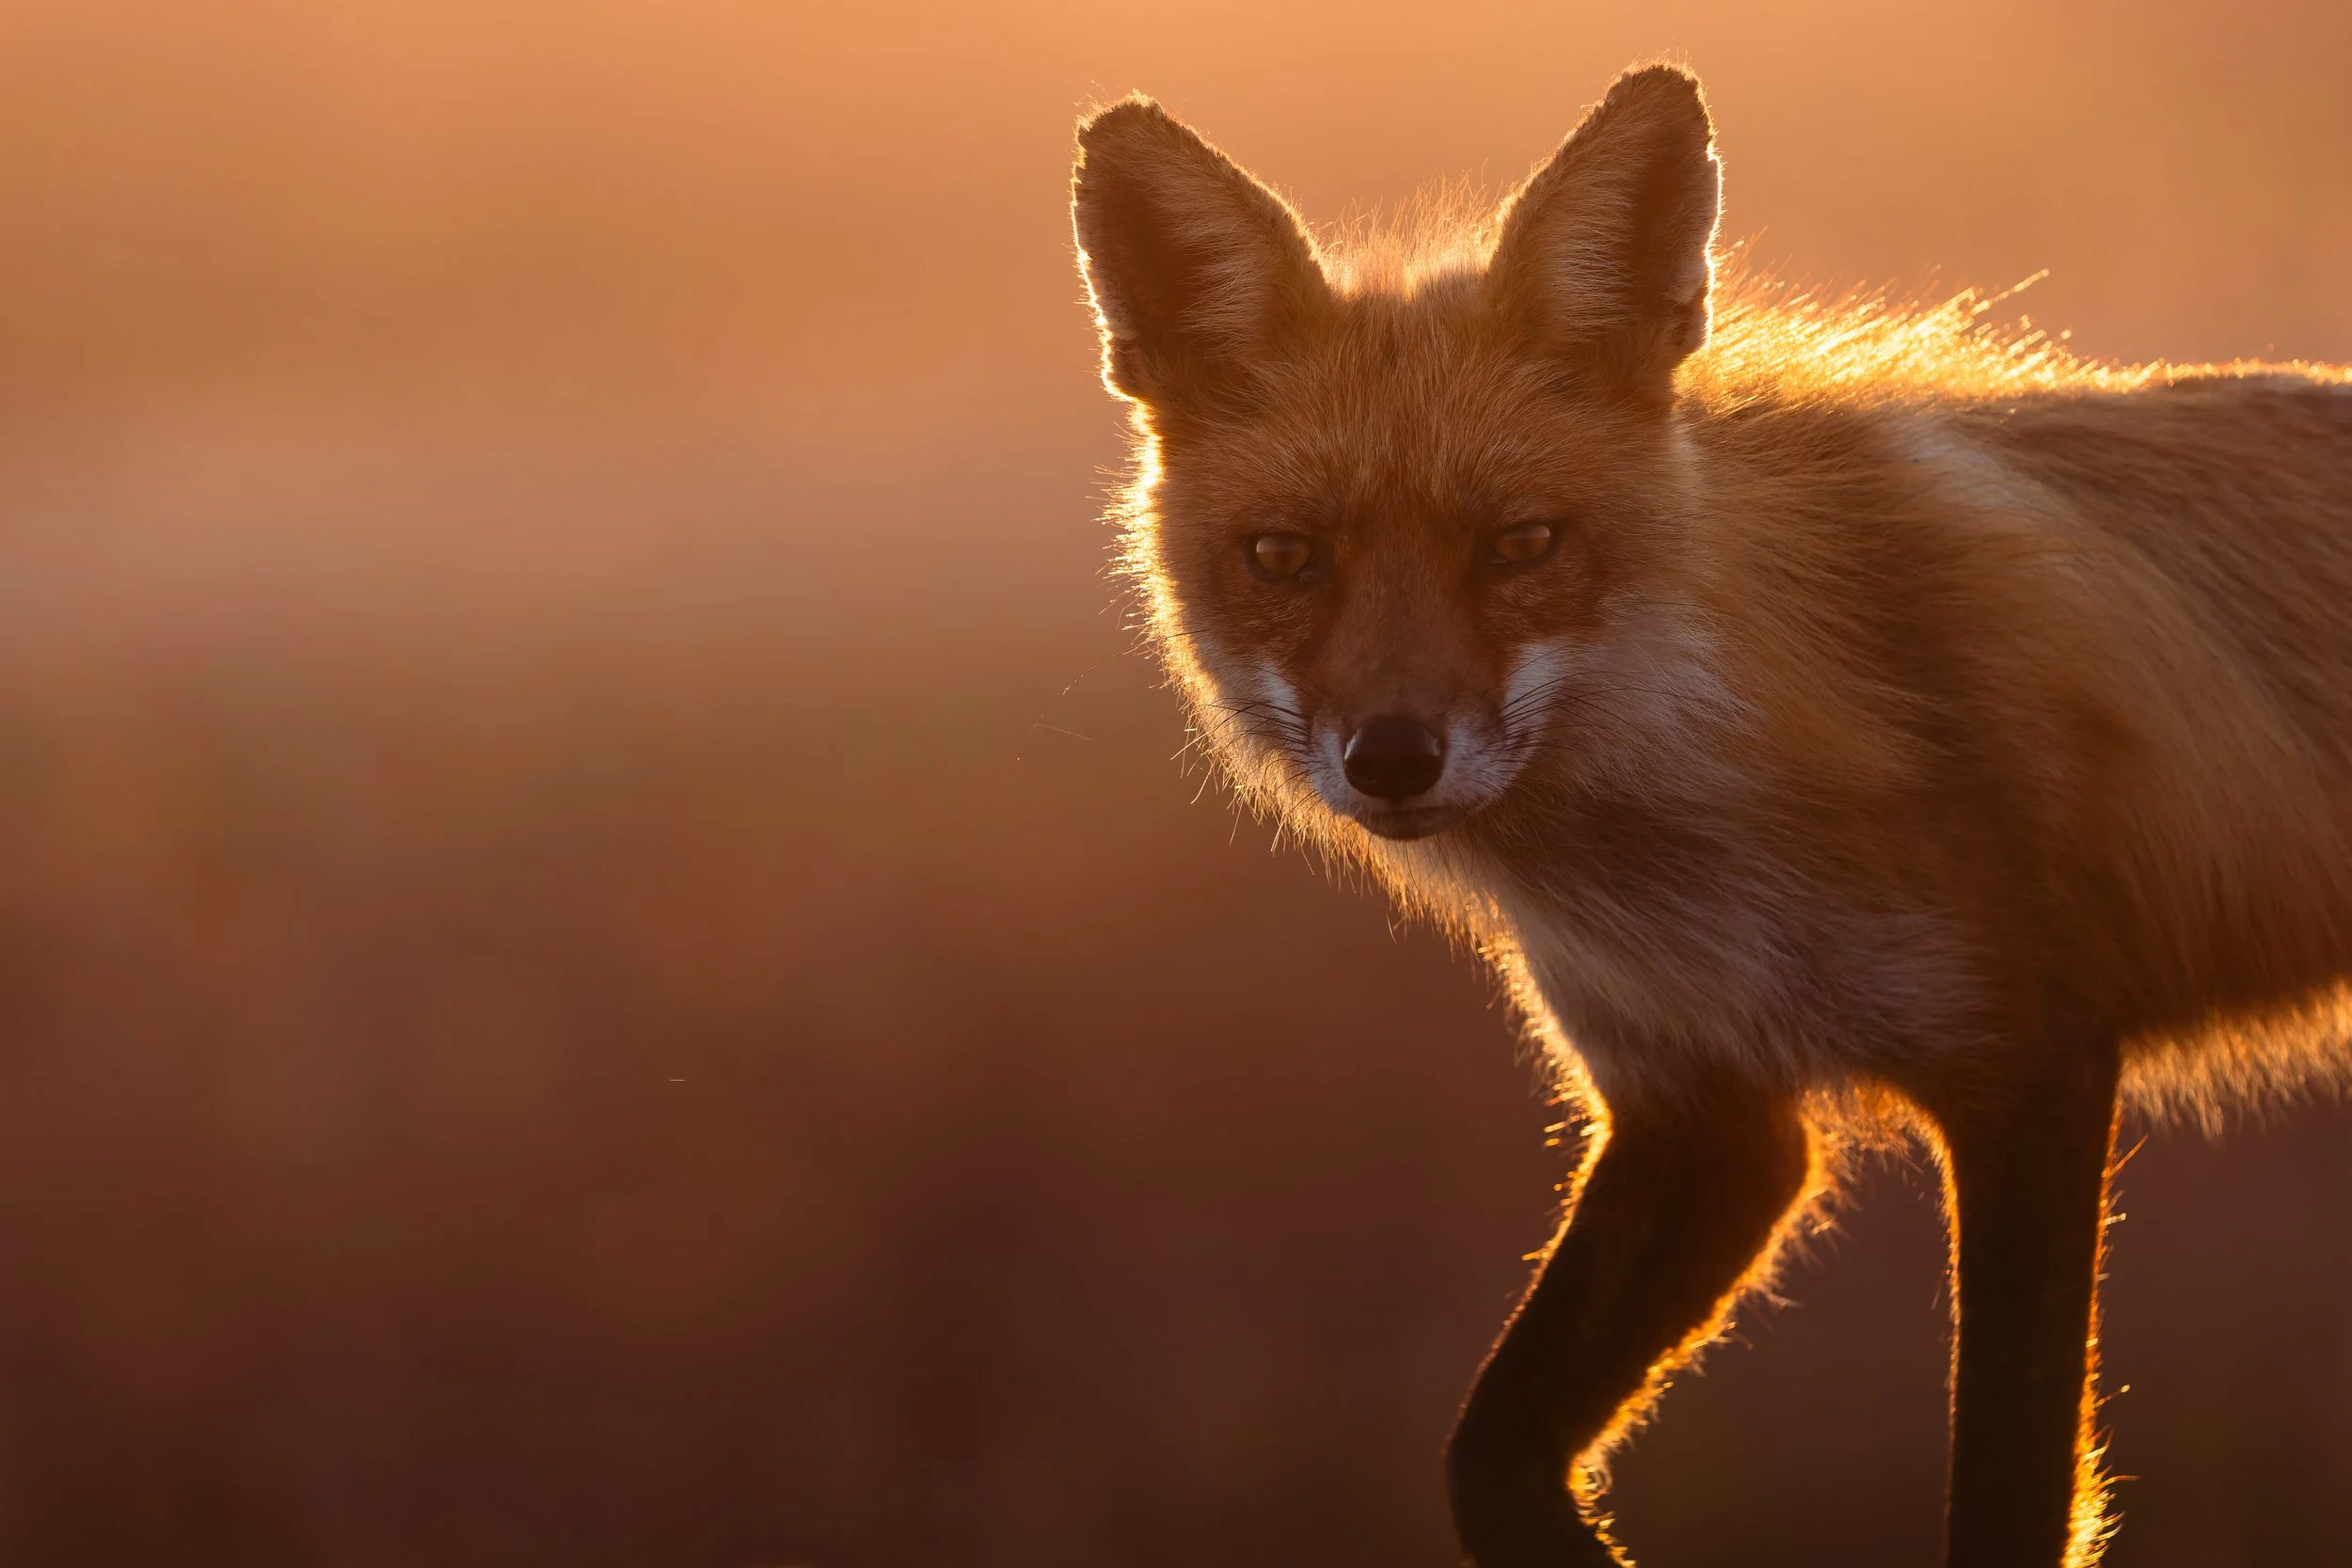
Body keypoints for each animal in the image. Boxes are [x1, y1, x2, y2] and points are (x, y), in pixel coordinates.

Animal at [1068, 61, 2352, 1568]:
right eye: (1283, 557)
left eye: (1522, 544)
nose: (1391, 758)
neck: (1697, 853)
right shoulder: (1701, 1103)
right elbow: (1487, 1455)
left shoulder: (2026, 1061)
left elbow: (2008, 1490)